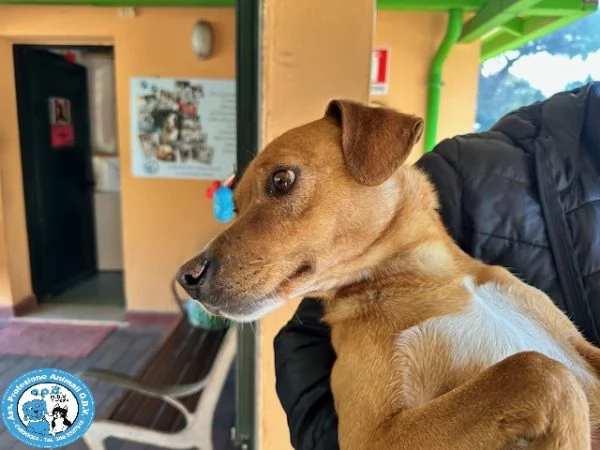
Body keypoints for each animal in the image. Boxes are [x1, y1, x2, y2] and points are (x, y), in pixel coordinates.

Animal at [179, 100, 600, 448]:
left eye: (281, 180)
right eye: (234, 207)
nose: (186, 276)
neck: (428, 276)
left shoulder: (580, 348)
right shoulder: (372, 435)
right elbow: (538, 369)